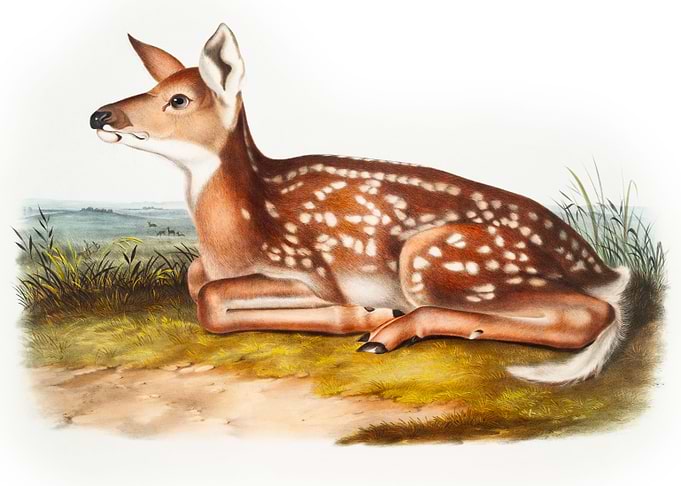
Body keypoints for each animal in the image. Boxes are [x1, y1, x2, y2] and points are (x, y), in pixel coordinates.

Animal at [89, 24, 632, 384]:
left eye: (178, 99)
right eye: (153, 87)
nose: (99, 115)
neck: (234, 239)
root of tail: (600, 266)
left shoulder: (312, 270)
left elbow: (210, 300)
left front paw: (361, 315)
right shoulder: (213, 266)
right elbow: (195, 279)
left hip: (437, 259)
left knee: (592, 314)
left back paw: (385, 329)